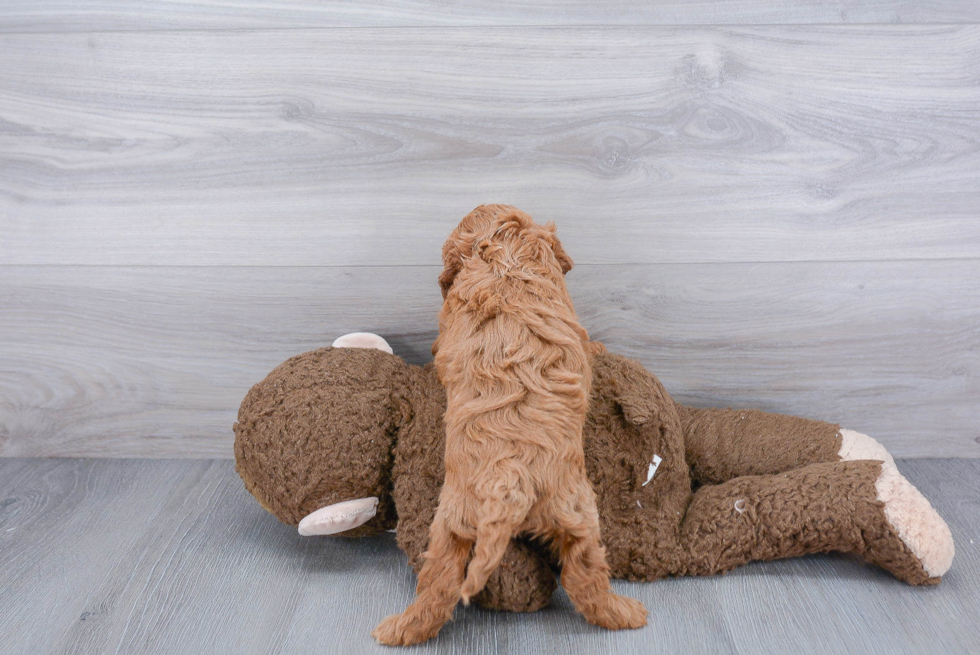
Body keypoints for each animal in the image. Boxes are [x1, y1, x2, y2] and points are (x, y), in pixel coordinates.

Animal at [372, 205, 648, 644]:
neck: (504, 254)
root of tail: (509, 478)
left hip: (455, 524)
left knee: (440, 583)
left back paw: (401, 628)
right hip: (577, 513)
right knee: (584, 577)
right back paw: (626, 613)